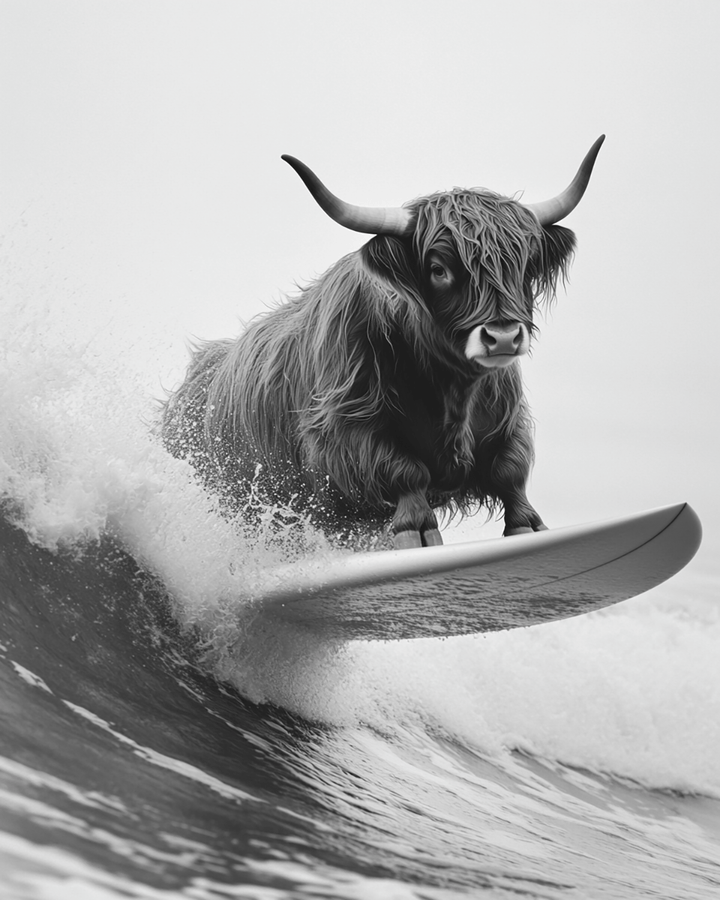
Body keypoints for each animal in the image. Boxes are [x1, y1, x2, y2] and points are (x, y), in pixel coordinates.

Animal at [162, 137, 604, 550]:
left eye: (524, 266)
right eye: (438, 269)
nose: (503, 337)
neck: (451, 390)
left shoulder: (507, 418)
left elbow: (509, 468)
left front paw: (528, 525)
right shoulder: (340, 431)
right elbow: (402, 468)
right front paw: (417, 530)